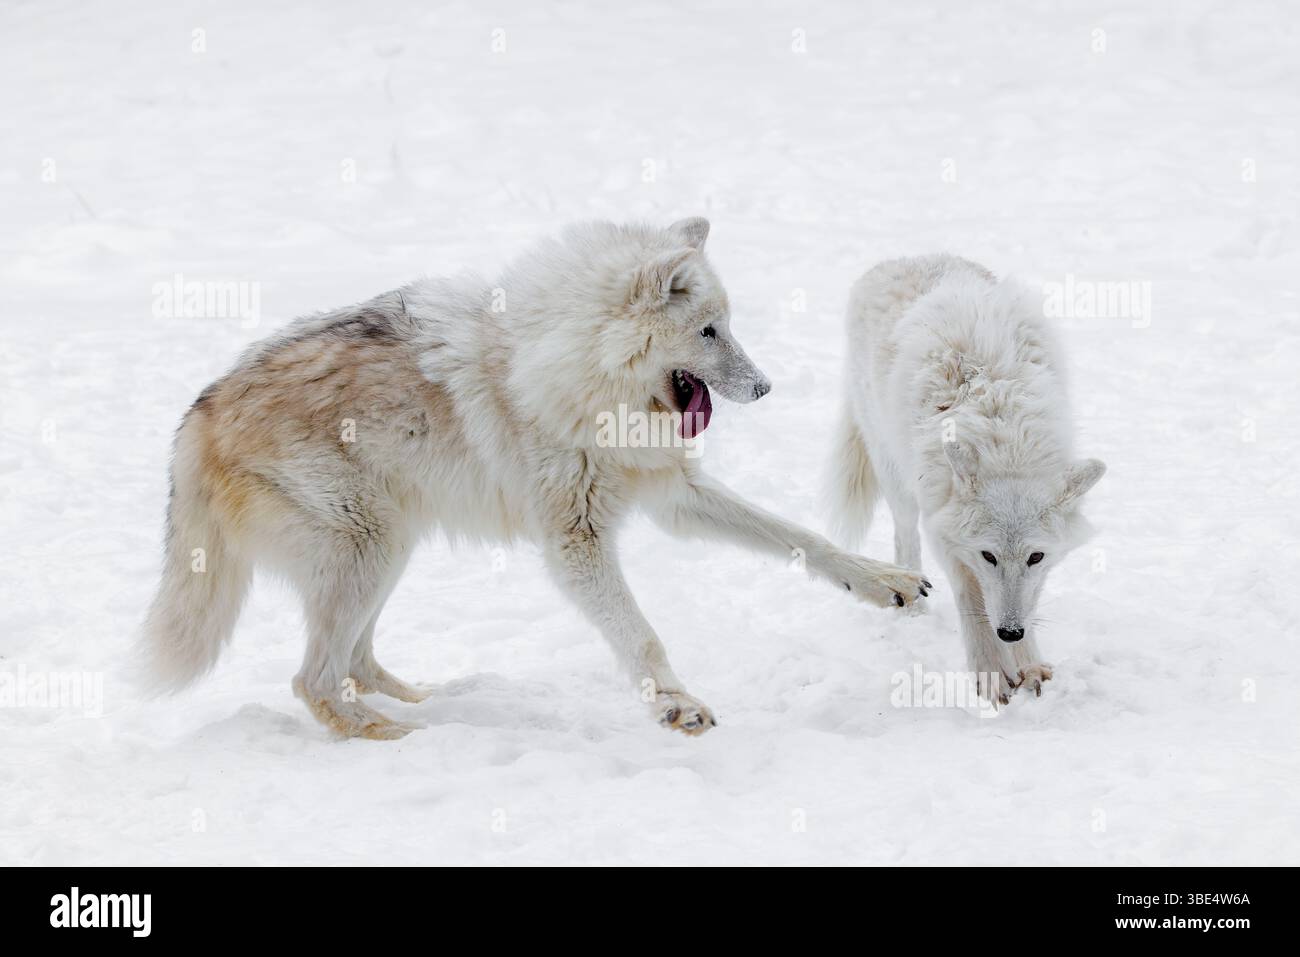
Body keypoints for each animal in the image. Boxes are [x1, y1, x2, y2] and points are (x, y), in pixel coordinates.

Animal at [143, 218, 928, 738]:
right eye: (709, 330)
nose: (766, 387)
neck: (579, 378)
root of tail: (195, 416)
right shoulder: (575, 540)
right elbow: (642, 635)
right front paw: (675, 704)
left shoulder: (672, 495)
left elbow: (800, 537)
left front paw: (882, 580)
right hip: (366, 549)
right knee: (312, 678)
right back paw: (396, 739)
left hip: (388, 551)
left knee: (355, 660)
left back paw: (428, 701)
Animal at [828, 255, 1105, 705]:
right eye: (988, 556)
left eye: (1035, 557)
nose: (1009, 632)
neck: (1005, 437)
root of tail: (904, 258)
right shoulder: (943, 528)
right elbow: (970, 595)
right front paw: (991, 677)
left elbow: (1030, 599)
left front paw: (1029, 666)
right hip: (895, 475)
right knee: (904, 538)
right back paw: (913, 607)